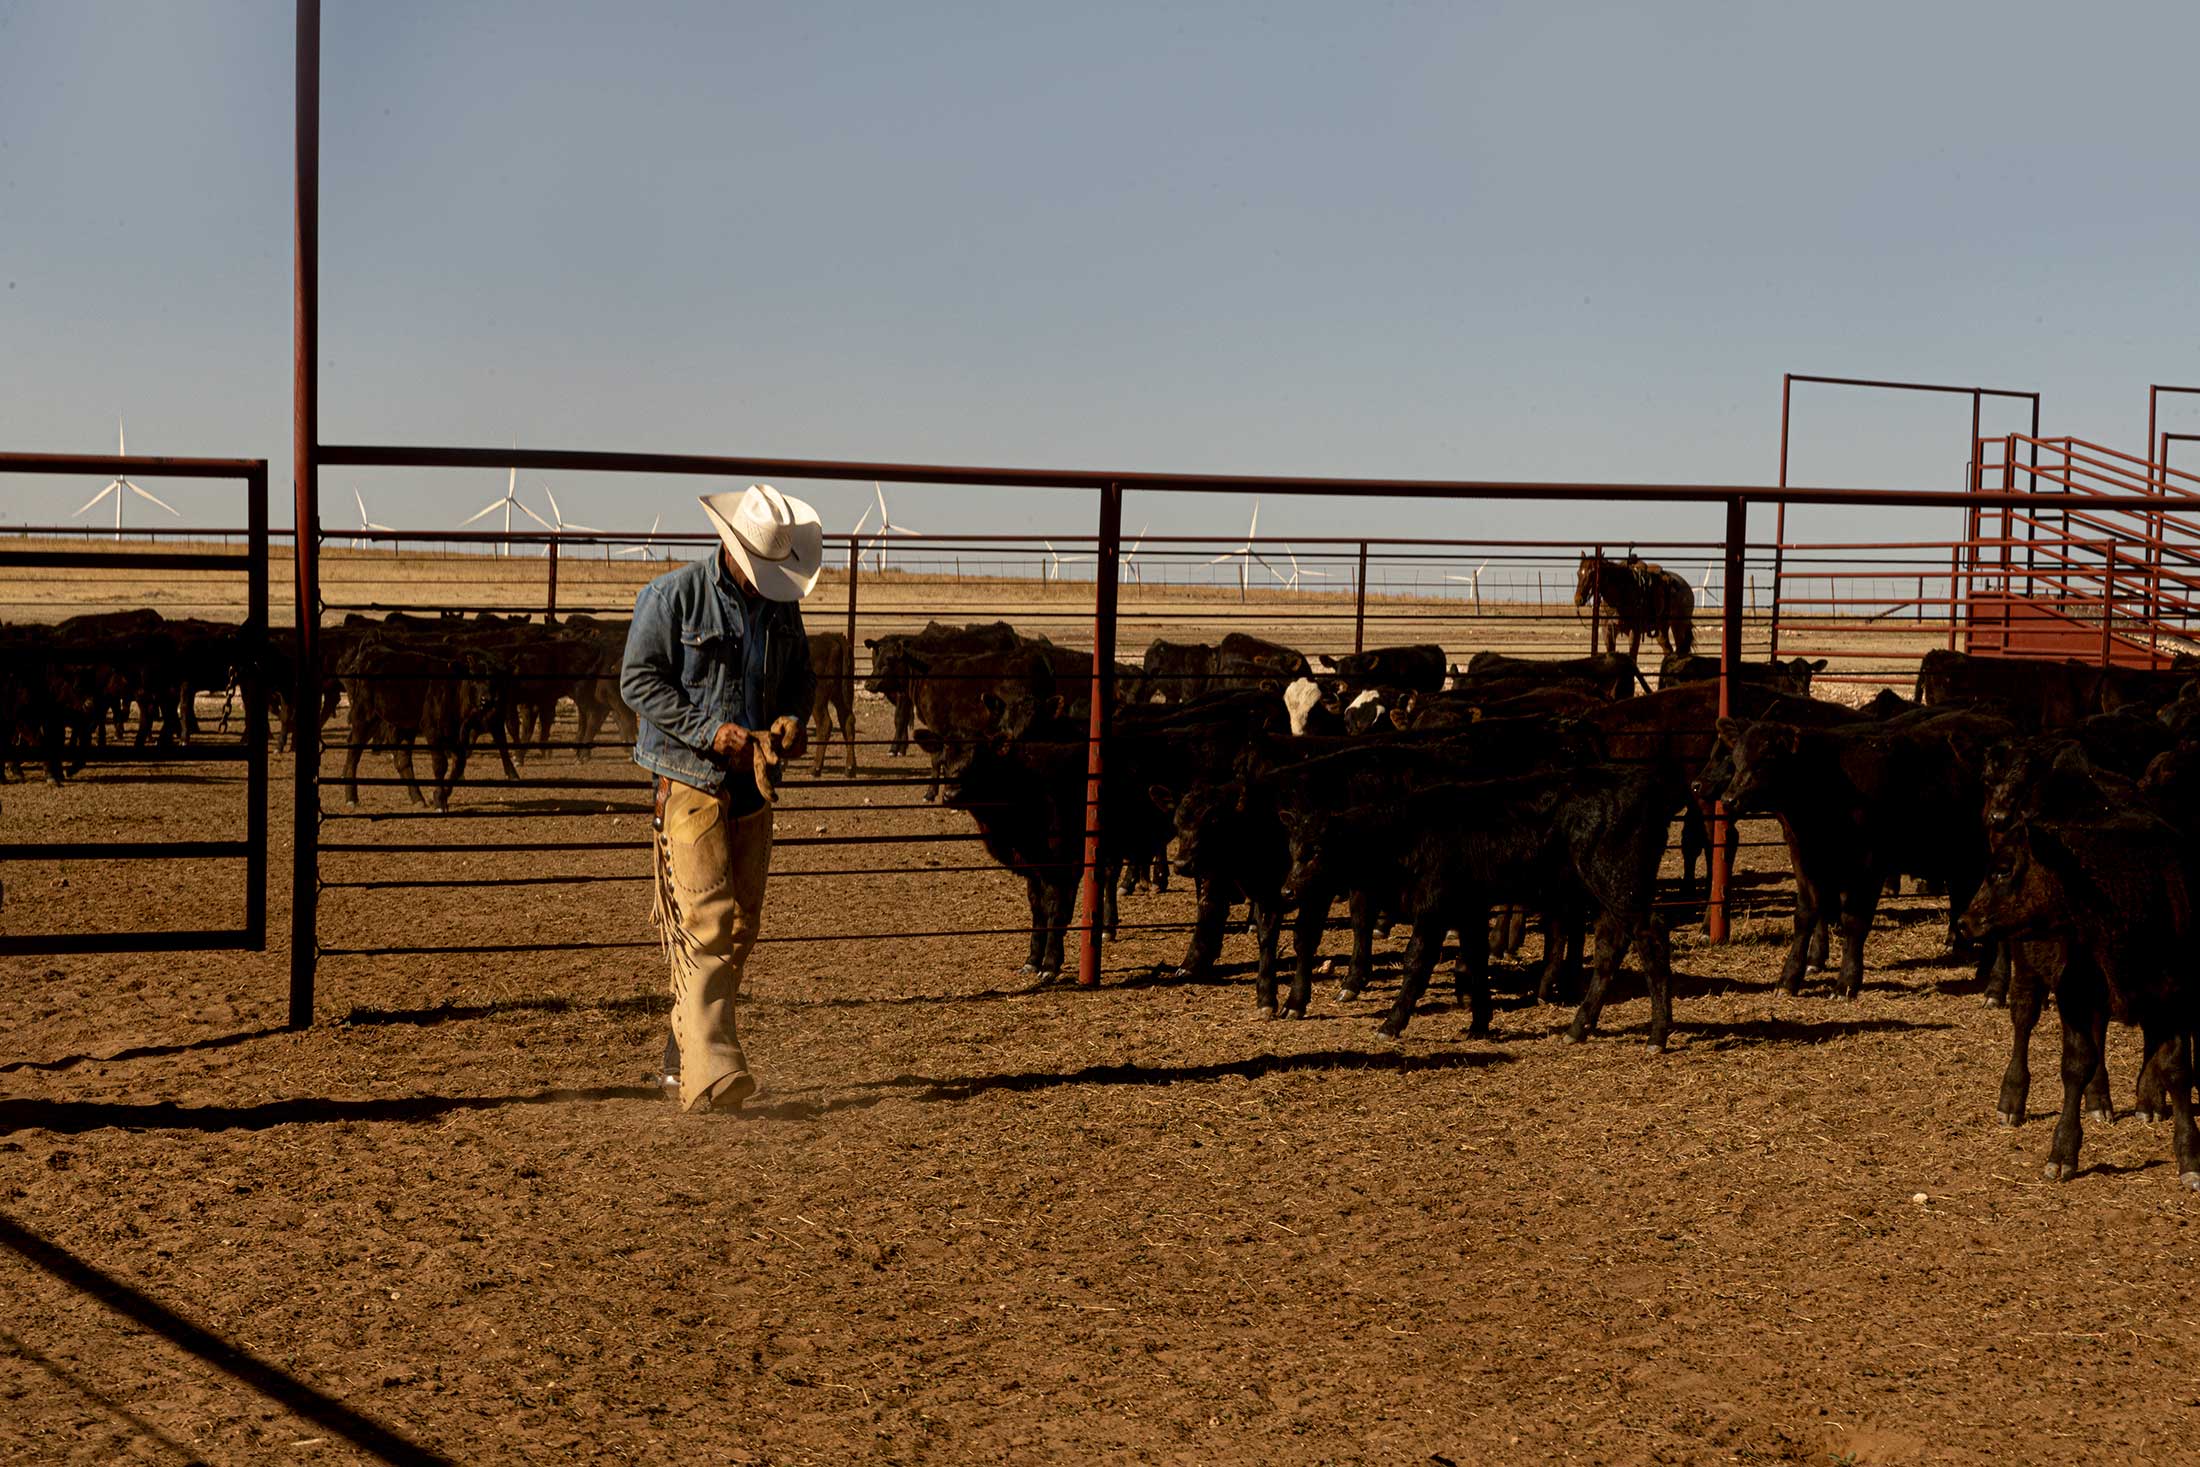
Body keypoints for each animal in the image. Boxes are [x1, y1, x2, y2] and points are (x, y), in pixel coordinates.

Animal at [1566, 556, 1698, 659]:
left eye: (1592, 573)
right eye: (1578, 573)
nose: (1578, 599)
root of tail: (1686, 586)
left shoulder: (1635, 631)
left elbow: (1633, 657)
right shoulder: (1607, 631)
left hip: (1678, 625)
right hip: (1662, 628)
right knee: (1668, 650)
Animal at [1962, 813, 2200, 1196]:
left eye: (2003, 870)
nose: (1964, 922)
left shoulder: (2175, 999)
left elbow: (2177, 1071)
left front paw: (2189, 1157)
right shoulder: (2073, 995)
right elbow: (2076, 1065)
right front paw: (2062, 1151)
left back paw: (2112, 1100)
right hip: (2027, 969)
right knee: (2023, 1021)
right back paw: (2012, 1099)